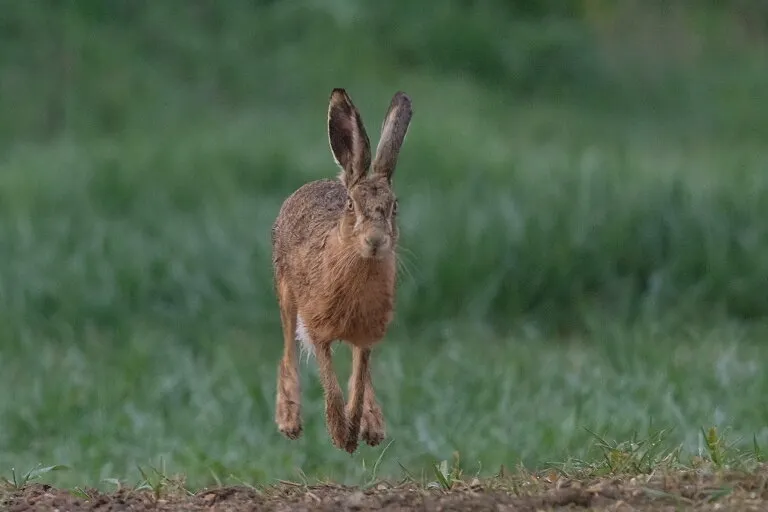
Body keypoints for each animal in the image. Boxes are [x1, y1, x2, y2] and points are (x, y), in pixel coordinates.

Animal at [271, 88, 412, 453]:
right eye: (351, 206)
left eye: (395, 207)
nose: (375, 241)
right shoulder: (317, 327)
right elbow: (330, 382)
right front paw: (340, 435)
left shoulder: (367, 335)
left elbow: (359, 380)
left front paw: (354, 433)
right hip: (286, 293)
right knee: (288, 351)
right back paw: (289, 421)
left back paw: (373, 426)